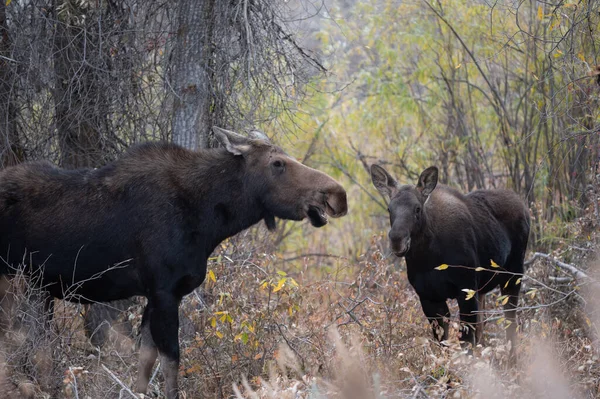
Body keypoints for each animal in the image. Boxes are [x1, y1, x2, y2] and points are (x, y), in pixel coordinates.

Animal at [0, 127, 346, 399]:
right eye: (277, 163)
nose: (337, 194)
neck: (209, 220)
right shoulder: (164, 290)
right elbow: (171, 362)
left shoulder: (158, 295)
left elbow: (144, 362)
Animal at [370, 164, 528, 360]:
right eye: (389, 209)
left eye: (417, 208)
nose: (397, 239)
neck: (427, 258)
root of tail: (523, 206)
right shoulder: (428, 296)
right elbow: (443, 342)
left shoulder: (465, 289)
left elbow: (466, 341)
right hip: (483, 288)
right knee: (483, 327)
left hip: (513, 275)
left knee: (510, 321)